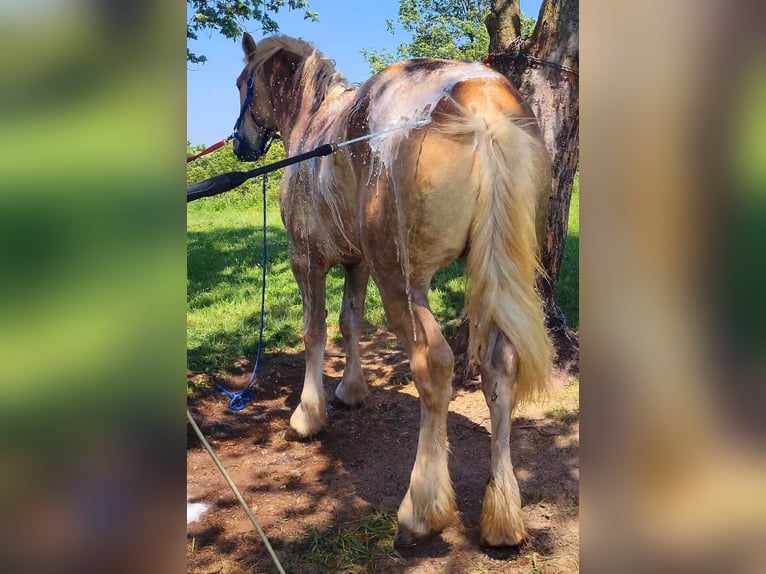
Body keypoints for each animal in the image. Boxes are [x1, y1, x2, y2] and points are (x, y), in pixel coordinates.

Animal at [232, 35, 552, 548]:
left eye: (243, 82)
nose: (240, 143)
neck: (313, 124)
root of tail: (482, 106)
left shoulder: (307, 259)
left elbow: (314, 331)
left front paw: (307, 415)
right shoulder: (356, 262)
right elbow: (350, 322)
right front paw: (351, 391)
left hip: (402, 282)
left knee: (433, 367)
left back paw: (421, 509)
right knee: (500, 367)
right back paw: (502, 515)